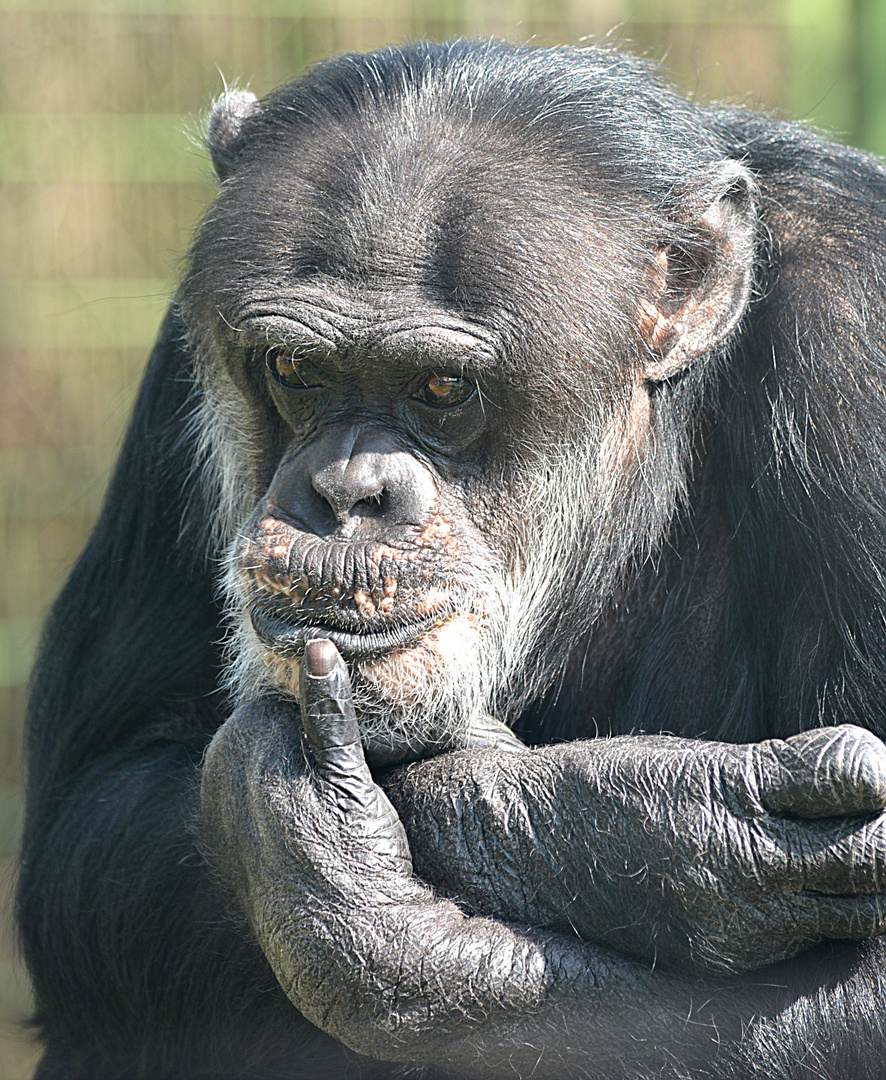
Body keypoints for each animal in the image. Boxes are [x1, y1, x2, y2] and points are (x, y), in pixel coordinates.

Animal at [17, 35, 886, 1080]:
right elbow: (91, 823)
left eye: (441, 387)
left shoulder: (861, 344)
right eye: (295, 369)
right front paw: (632, 824)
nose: (347, 493)